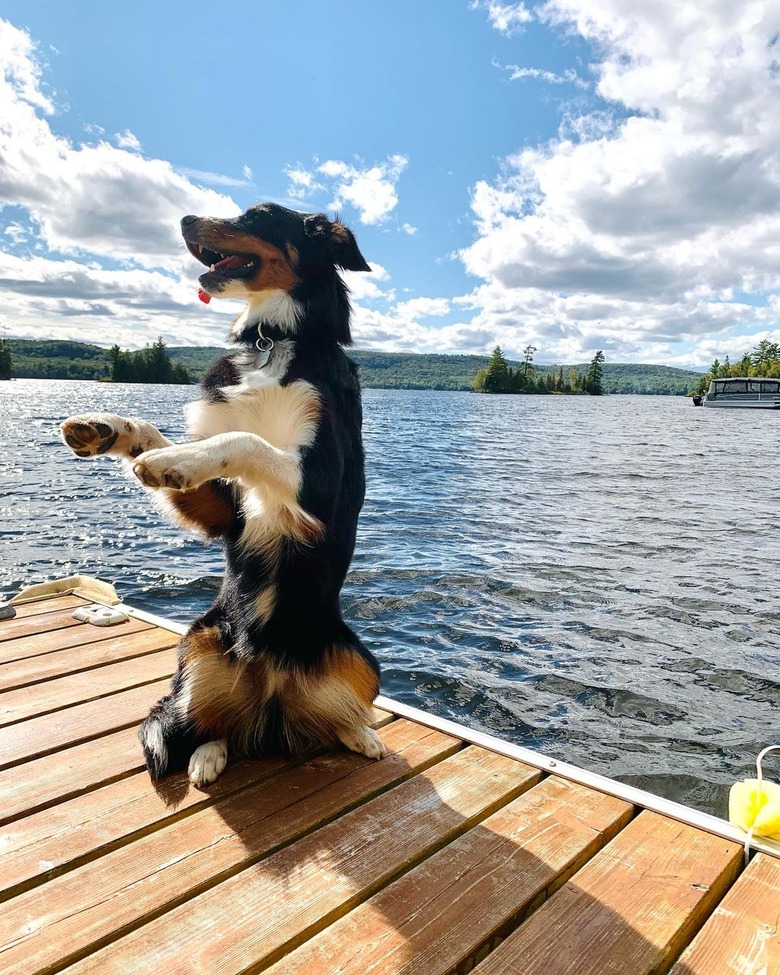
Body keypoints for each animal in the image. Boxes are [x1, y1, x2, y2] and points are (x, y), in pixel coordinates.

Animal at [60, 202, 384, 788]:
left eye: (259, 214)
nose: (185, 219)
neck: (271, 339)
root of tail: (272, 698)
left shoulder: (320, 488)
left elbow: (243, 440)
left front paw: (173, 461)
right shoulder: (225, 512)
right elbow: (165, 431)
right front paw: (107, 430)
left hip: (362, 657)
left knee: (339, 713)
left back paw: (360, 733)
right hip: (197, 641)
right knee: (202, 722)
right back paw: (207, 755)